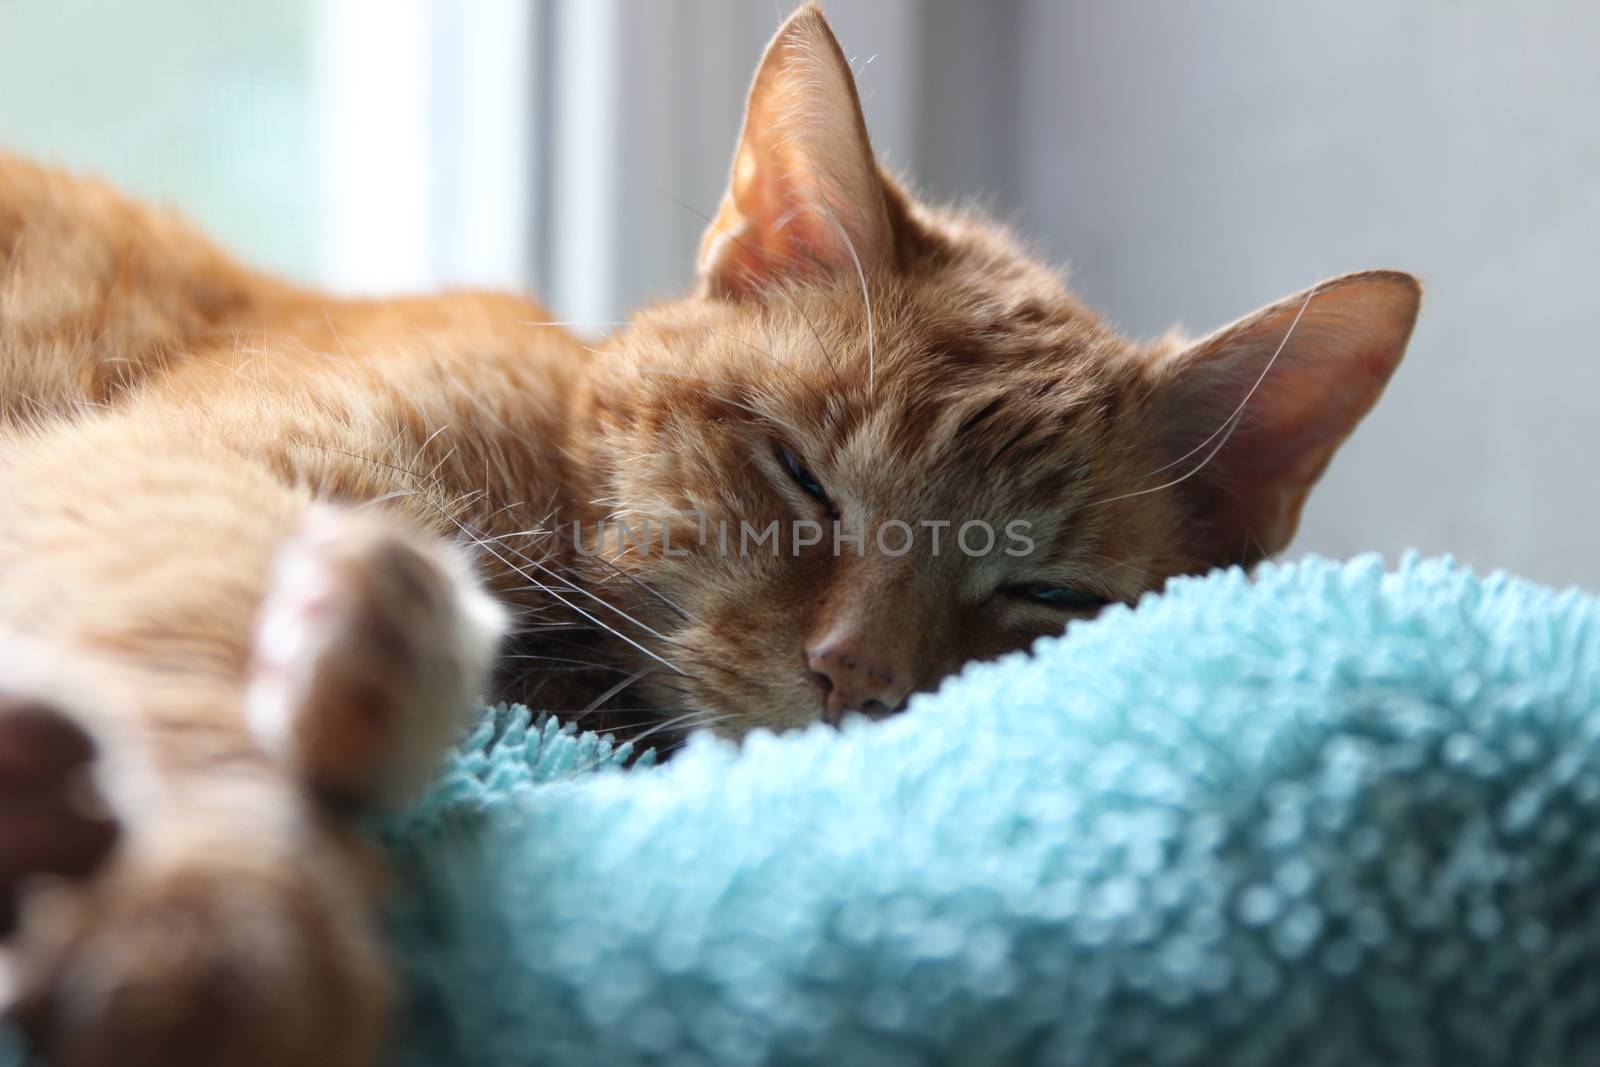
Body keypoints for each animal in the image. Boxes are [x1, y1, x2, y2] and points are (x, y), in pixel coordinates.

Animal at [0, 4, 1427, 1062]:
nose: (854, 675)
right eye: (801, 475)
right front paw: (228, 929)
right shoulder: (175, 474)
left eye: (1048, 593)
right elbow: (192, 658)